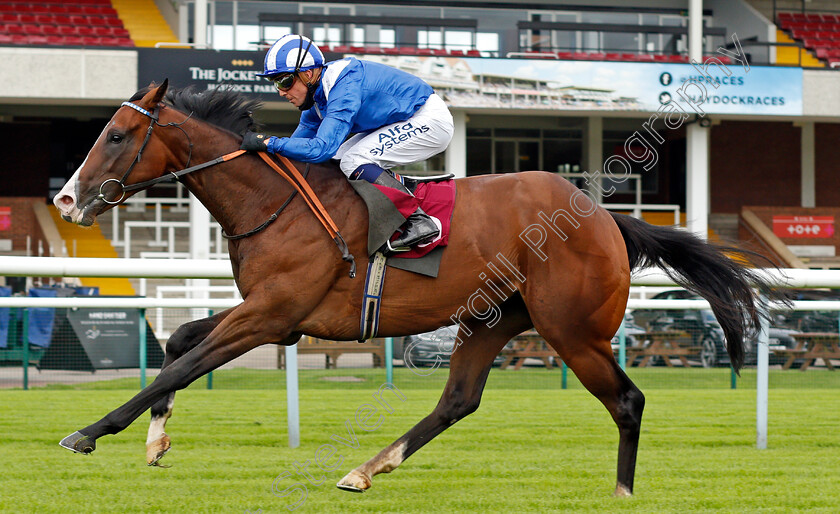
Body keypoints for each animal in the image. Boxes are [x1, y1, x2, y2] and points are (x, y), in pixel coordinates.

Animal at [52, 81, 776, 496]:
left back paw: (622, 494)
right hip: (494, 318)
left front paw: (90, 430)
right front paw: (155, 440)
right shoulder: (272, 314)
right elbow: (178, 341)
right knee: (459, 400)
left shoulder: (271, 314)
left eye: (117, 135)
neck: (272, 201)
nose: (65, 200)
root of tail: (603, 216)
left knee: (627, 401)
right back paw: (365, 470)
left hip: (571, 329)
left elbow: (184, 363)